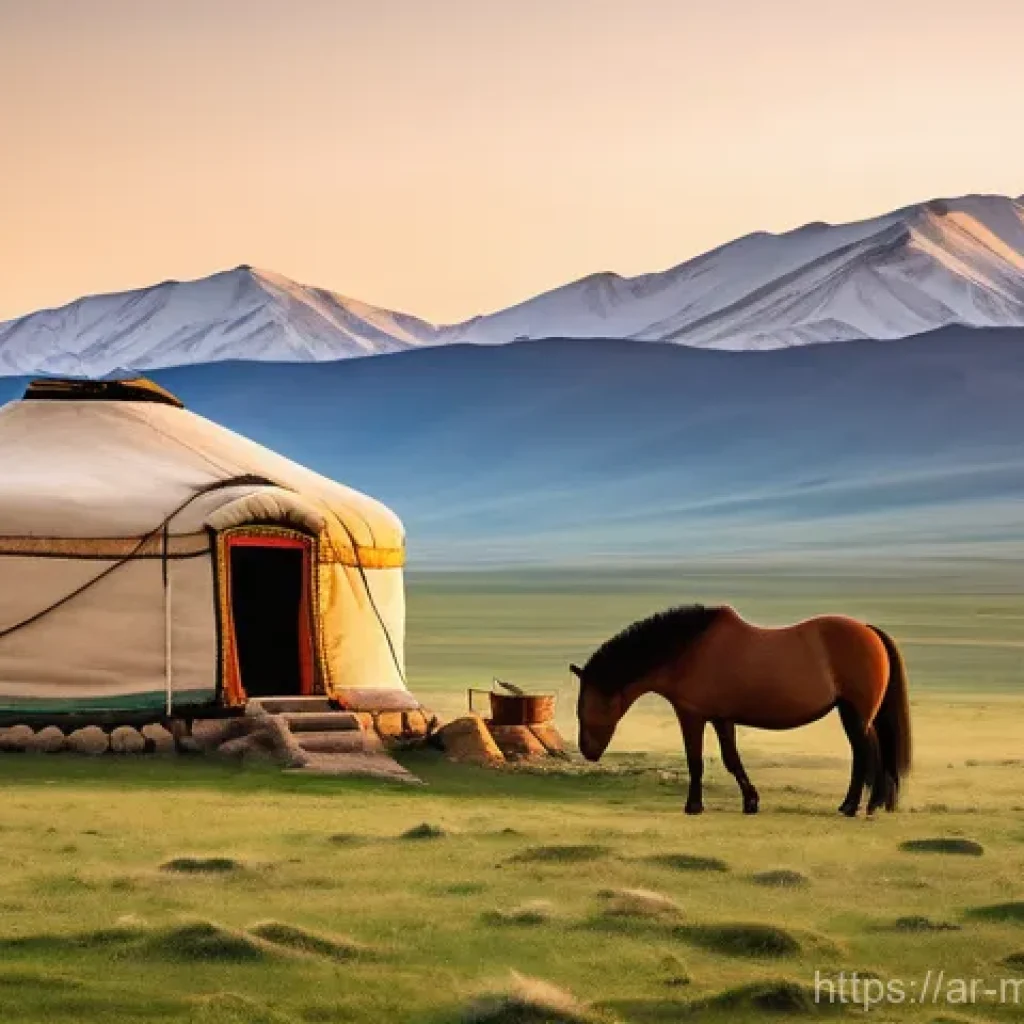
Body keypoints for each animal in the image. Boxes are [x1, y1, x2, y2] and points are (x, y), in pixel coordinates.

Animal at [570, 604, 912, 817]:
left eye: (583, 707)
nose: (588, 751)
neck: (688, 652)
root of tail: (868, 631)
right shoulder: (722, 719)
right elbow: (731, 759)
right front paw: (750, 801)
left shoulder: (691, 716)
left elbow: (695, 761)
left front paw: (693, 806)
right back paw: (861, 805)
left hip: (855, 714)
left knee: (866, 753)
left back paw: (854, 806)